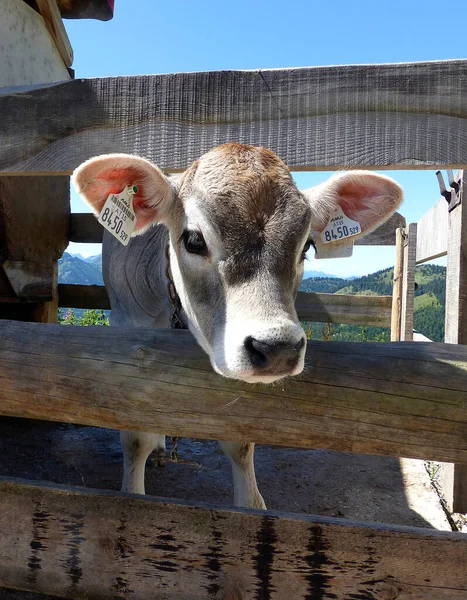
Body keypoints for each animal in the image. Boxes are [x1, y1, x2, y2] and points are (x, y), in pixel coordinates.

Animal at [73, 143, 402, 508]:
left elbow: (240, 440)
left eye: (307, 245)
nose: (278, 348)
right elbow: (134, 435)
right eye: (194, 240)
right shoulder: (126, 329)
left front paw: (251, 506)